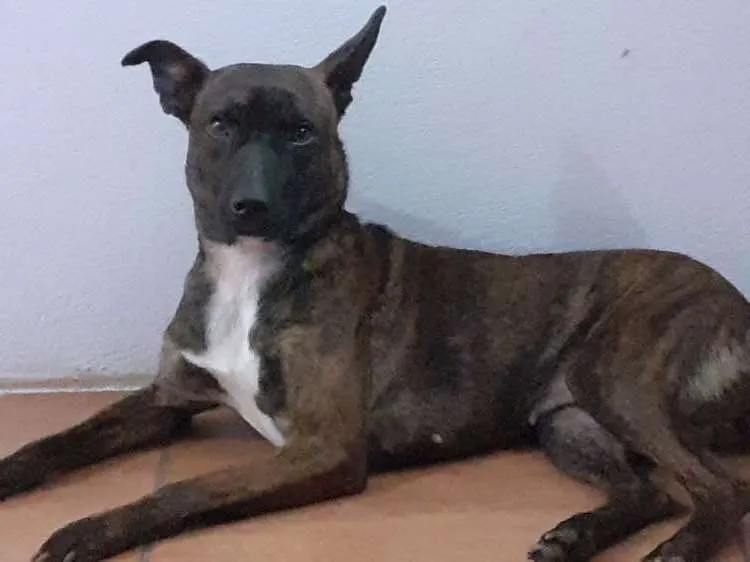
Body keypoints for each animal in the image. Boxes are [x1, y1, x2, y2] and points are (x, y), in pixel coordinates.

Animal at [3, 6, 750, 561]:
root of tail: (736, 299)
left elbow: (183, 491)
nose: (251, 207)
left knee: (717, 490)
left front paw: (86, 532)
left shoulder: (323, 446)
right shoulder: (169, 395)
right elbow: (57, 440)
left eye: (301, 133)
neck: (250, 272)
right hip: (567, 422)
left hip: (615, 375)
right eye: (220, 124)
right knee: (650, 493)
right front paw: (12, 473)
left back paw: (676, 550)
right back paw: (576, 536)